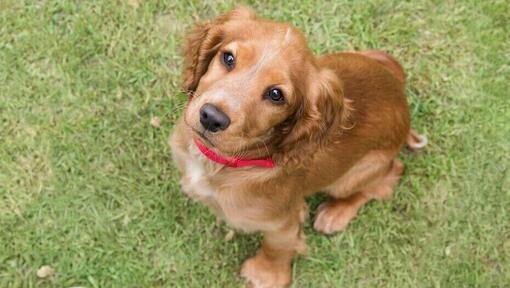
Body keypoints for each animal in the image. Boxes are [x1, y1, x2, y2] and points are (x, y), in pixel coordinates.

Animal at [170, 7, 426, 288]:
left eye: (276, 95)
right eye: (228, 58)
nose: (212, 118)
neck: (221, 163)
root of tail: (399, 90)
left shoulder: (283, 221)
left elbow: (276, 247)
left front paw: (265, 275)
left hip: (354, 174)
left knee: (390, 174)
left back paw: (336, 212)